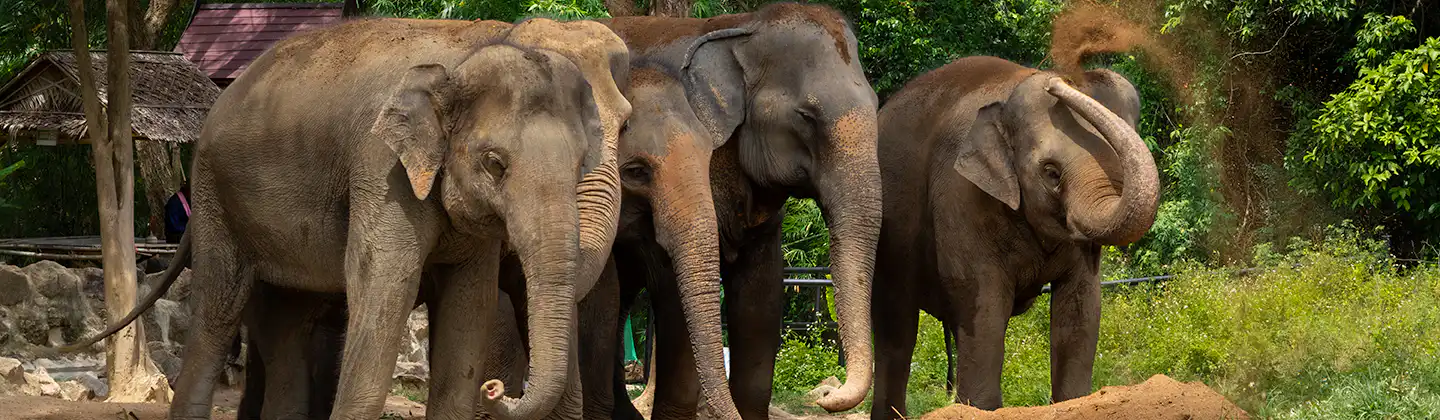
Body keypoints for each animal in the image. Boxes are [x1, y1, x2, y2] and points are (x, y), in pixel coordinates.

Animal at [65, 17, 629, 420]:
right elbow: (383, 286)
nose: (498, 391)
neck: (462, 56)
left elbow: (469, 305)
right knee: (217, 314)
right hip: (215, 200)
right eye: (495, 163)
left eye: (580, 162)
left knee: (286, 324)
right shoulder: (379, 166)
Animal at [868, 55, 1159, 418]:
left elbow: (1082, 305)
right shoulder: (961, 193)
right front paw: (981, 409)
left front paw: (1074, 403)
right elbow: (982, 298)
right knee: (897, 329)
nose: (1059, 81)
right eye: (1051, 173)